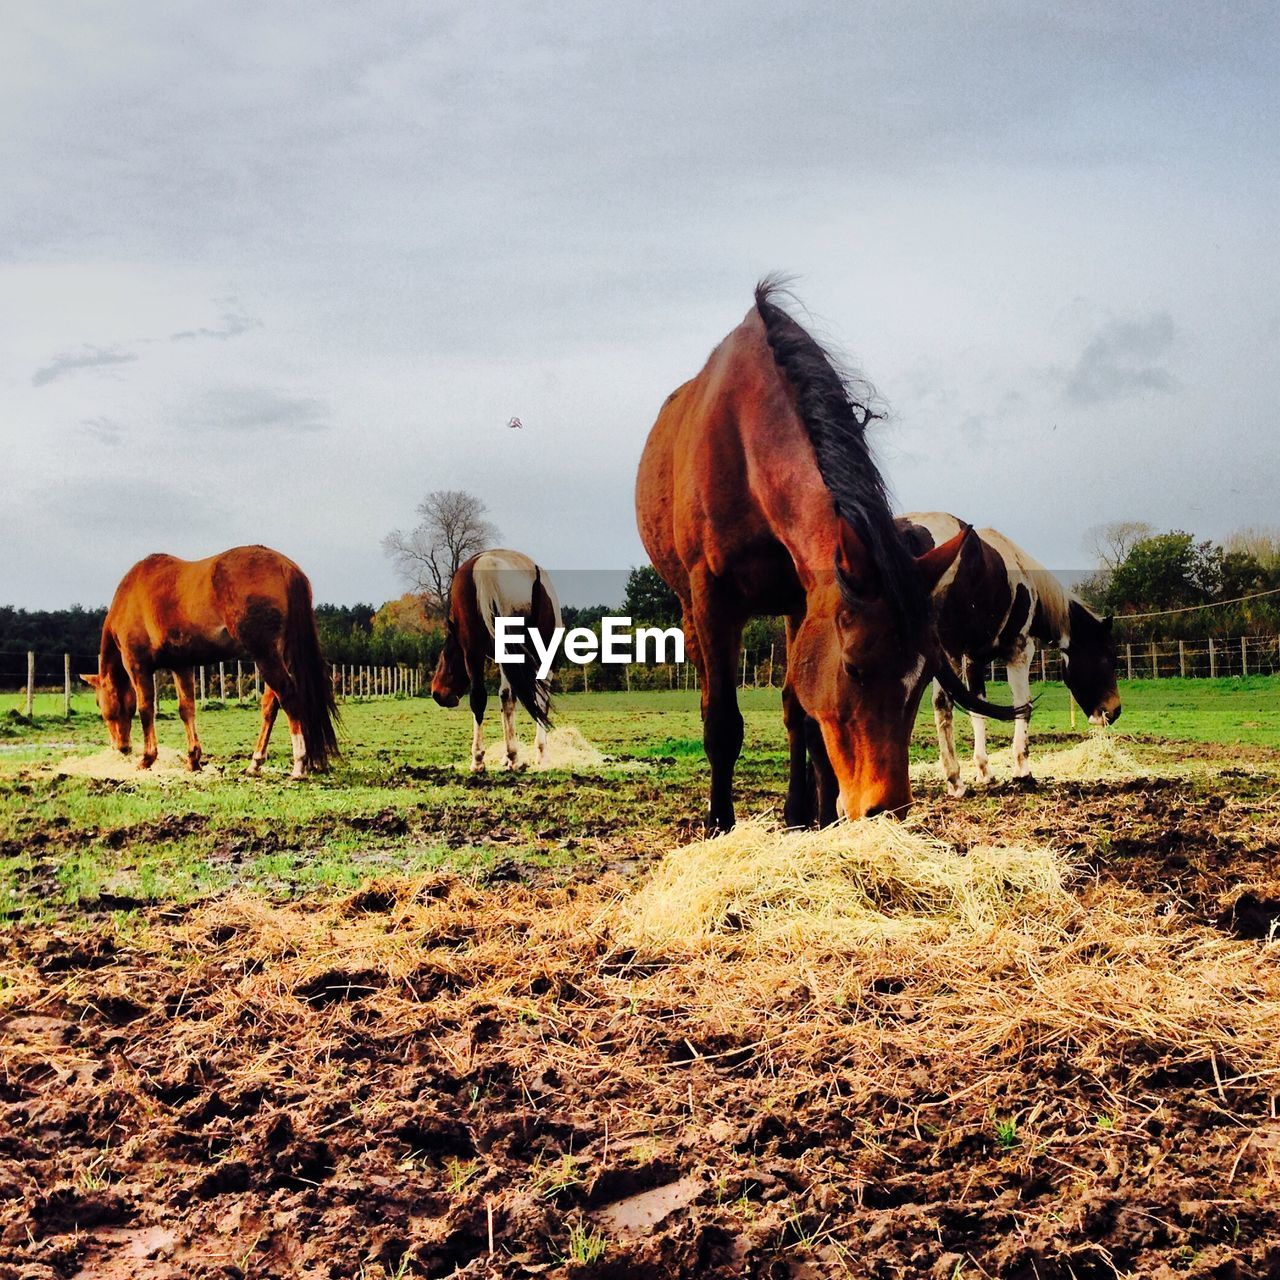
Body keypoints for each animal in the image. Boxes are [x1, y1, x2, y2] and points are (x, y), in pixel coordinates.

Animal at [82, 542, 337, 778]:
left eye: (100, 704)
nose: (121, 747)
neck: (129, 597)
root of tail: (286, 567)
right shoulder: (181, 666)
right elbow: (187, 709)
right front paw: (193, 760)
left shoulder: (138, 666)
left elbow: (146, 710)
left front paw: (147, 758)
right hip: (278, 655)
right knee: (270, 705)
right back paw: (255, 763)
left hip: (265, 654)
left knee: (289, 697)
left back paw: (299, 763)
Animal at [430, 550, 560, 768]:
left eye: (446, 656)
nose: (436, 693)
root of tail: (488, 565)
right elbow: (511, 698)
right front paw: (513, 756)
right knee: (524, 698)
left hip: (476, 652)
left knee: (480, 697)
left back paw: (479, 760)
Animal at [634, 280, 1013, 829]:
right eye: (854, 667)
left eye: (923, 680)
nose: (886, 810)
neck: (746, 442)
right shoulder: (713, 600)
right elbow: (723, 720)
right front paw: (720, 824)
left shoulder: (804, 600)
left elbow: (803, 713)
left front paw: (808, 816)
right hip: (690, 609)